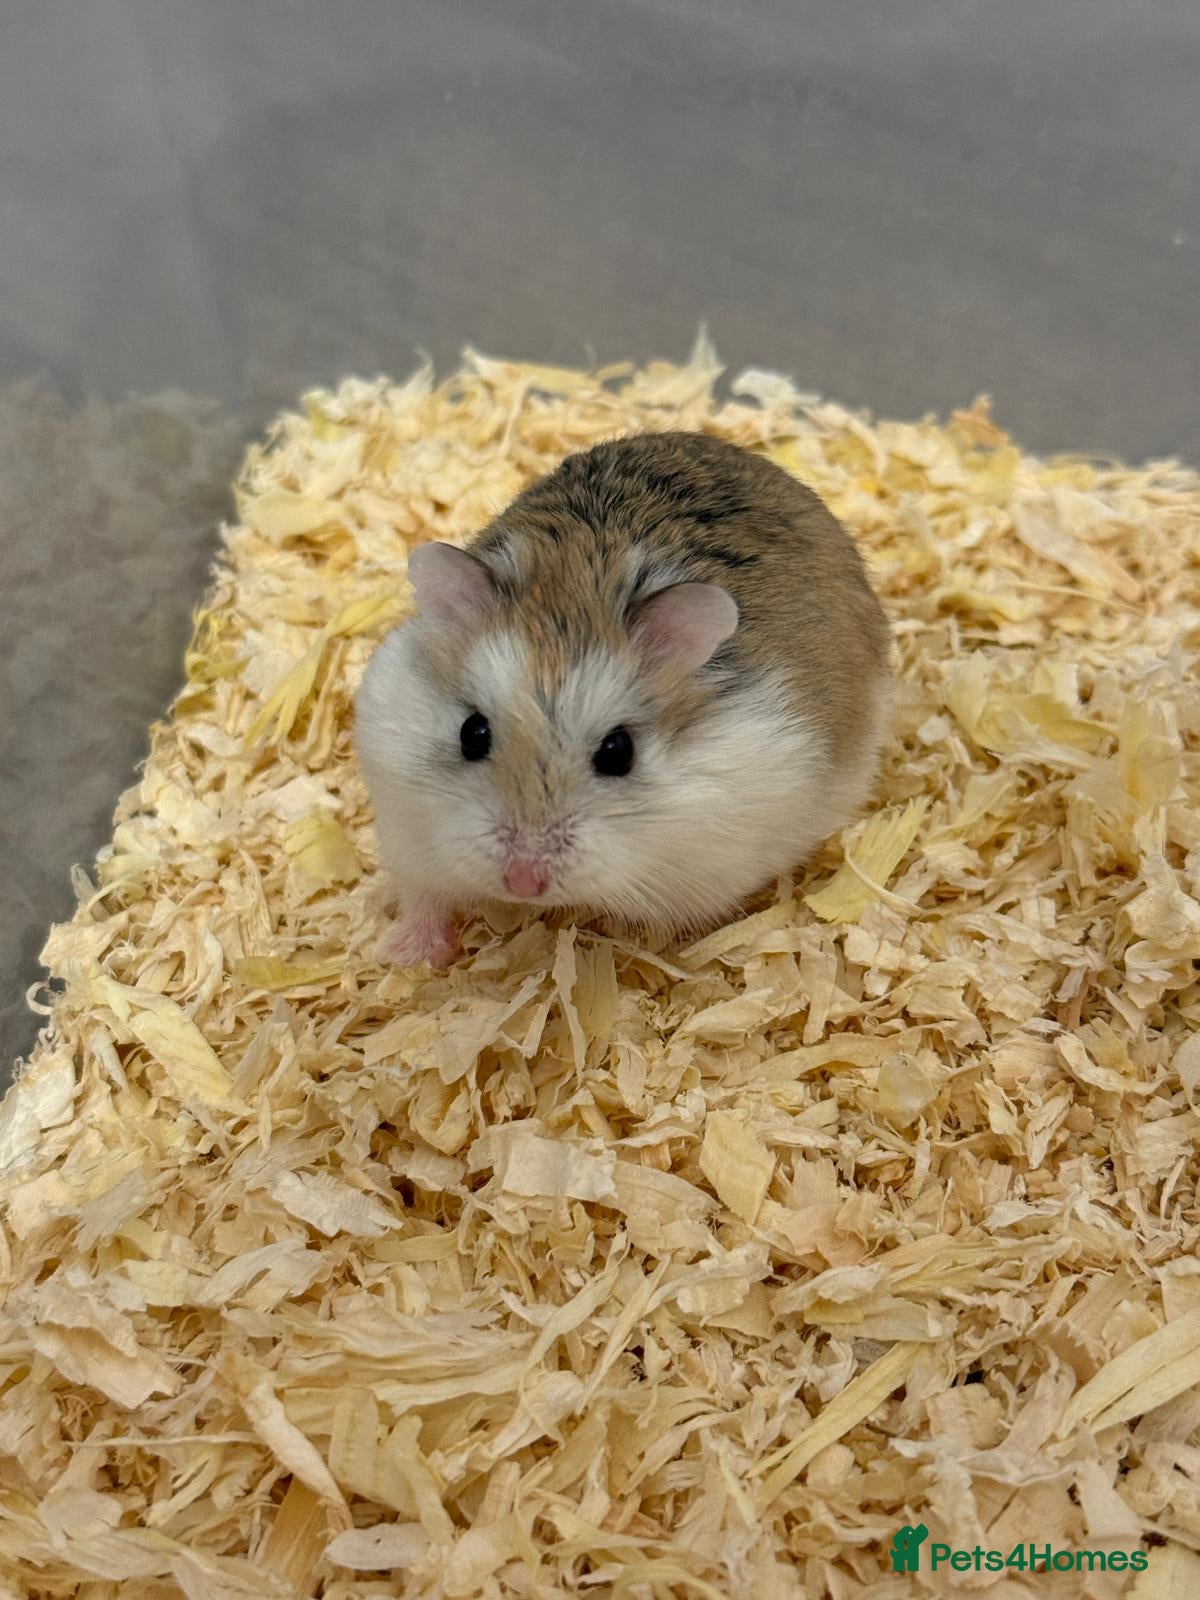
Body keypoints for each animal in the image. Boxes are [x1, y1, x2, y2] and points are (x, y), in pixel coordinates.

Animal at [355, 430, 891, 967]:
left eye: (618, 752)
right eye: (472, 733)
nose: (523, 882)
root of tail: (713, 443)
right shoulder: (406, 827)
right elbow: (426, 898)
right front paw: (404, 957)